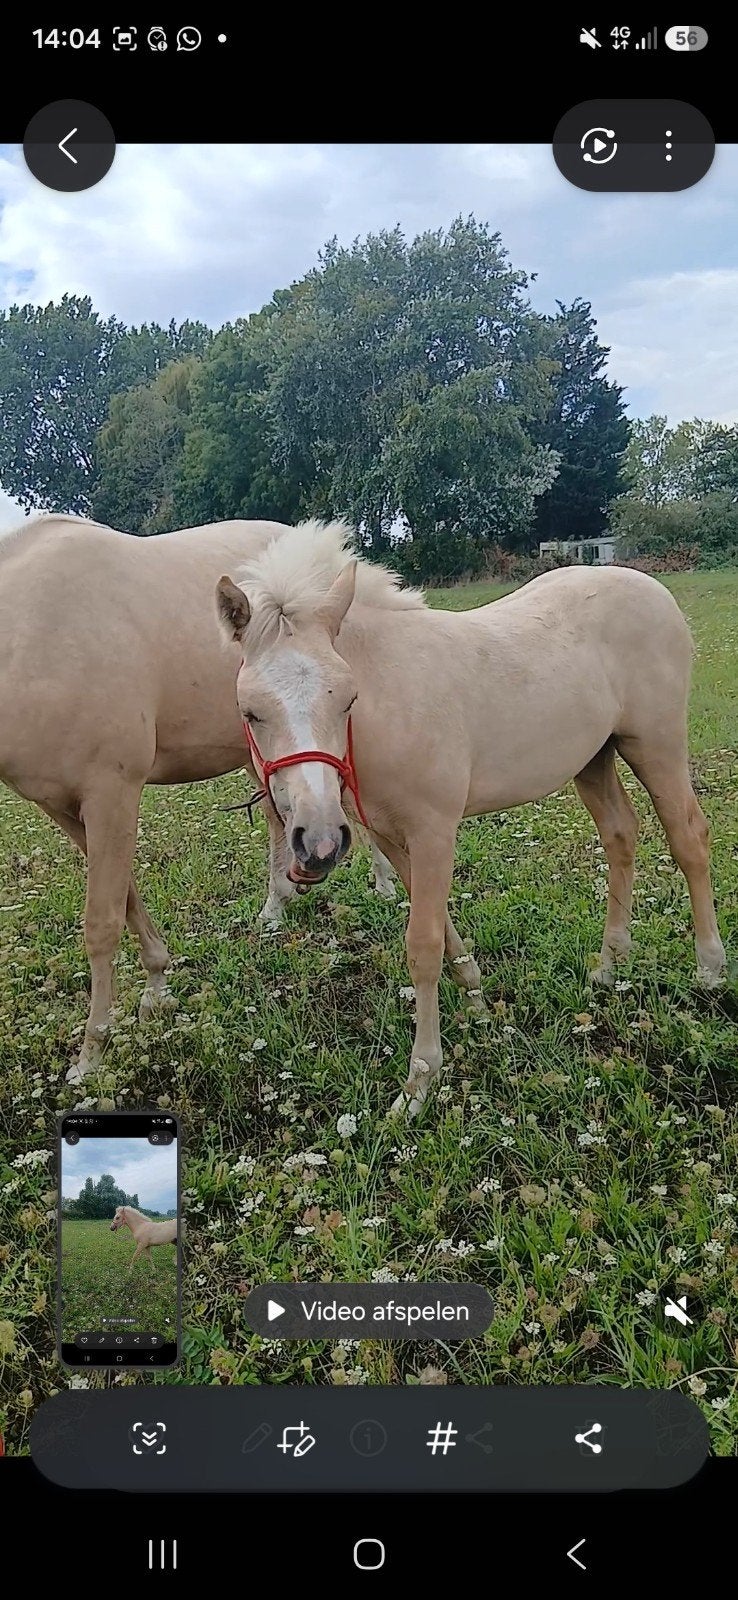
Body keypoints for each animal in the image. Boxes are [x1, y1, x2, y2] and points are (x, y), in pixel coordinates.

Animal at [0, 514, 396, 1082]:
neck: (33, 635)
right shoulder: (64, 808)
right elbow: (127, 898)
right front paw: (157, 990)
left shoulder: (111, 792)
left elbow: (101, 922)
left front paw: (93, 1052)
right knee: (281, 820)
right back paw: (276, 907)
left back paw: (381, 883)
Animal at [216, 521, 727, 1117]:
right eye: (251, 712)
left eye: (347, 699)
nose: (317, 843)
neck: (392, 700)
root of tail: (656, 591)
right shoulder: (394, 836)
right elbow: (440, 926)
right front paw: (479, 1001)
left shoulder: (434, 831)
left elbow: (423, 945)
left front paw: (419, 1081)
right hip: (594, 758)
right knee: (621, 833)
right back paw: (608, 967)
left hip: (656, 744)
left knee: (689, 838)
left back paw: (710, 968)